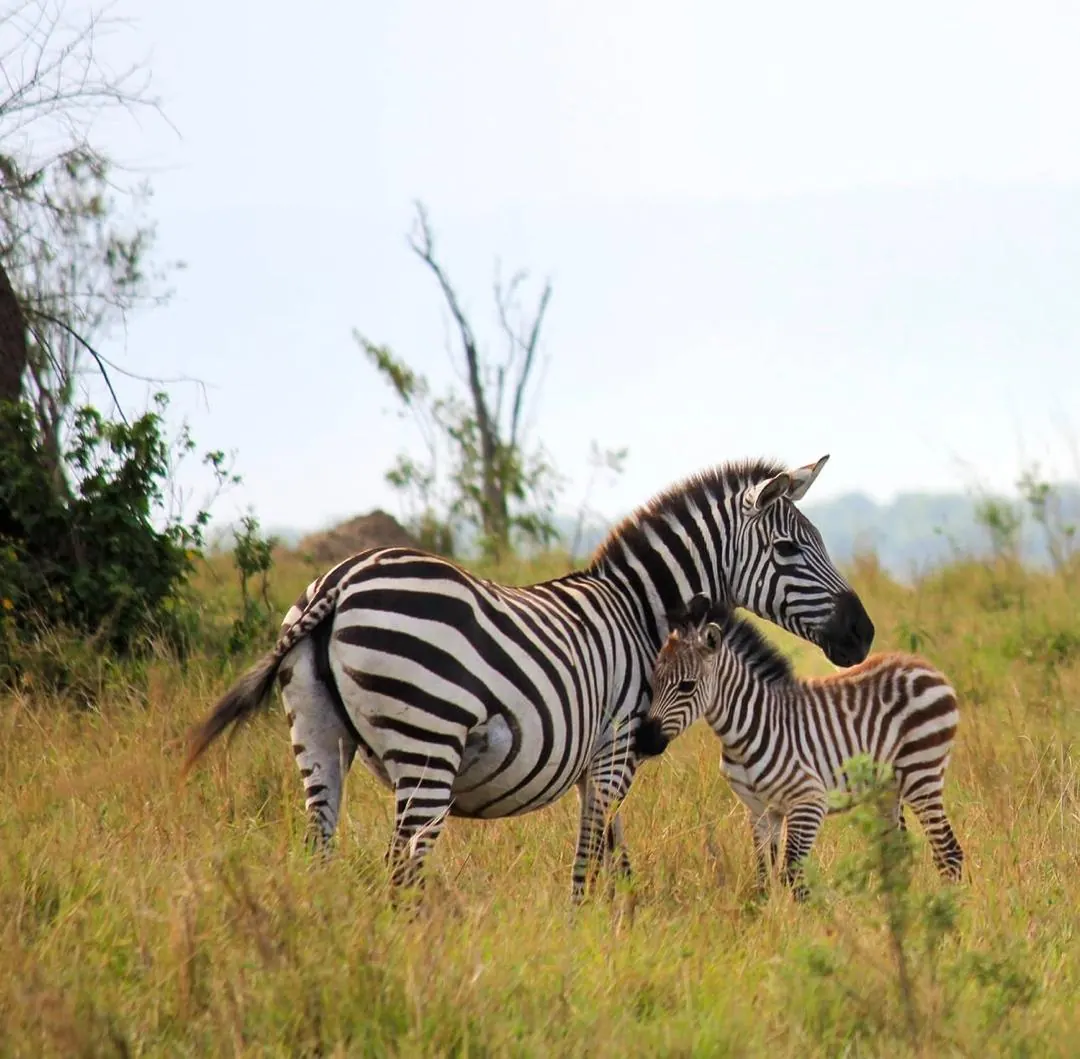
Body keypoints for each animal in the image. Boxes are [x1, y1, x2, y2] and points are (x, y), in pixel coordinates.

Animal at [181, 455, 875, 901]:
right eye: (788, 550)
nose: (863, 634)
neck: (638, 609)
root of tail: (339, 582)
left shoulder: (601, 761)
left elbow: (612, 855)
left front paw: (617, 921)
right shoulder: (616, 749)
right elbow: (590, 855)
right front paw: (585, 930)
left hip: (316, 735)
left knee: (322, 848)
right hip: (428, 744)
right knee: (402, 865)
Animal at [635, 594, 963, 900]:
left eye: (686, 686)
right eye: (652, 681)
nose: (644, 741)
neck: (749, 726)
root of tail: (925, 666)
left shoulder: (809, 802)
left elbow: (793, 877)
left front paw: (813, 921)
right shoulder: (760, 811)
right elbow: (763, 877)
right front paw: (767, 918)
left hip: (921, 773)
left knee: (949, 852)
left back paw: (948, 911)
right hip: (888, 787)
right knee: (900, 851)